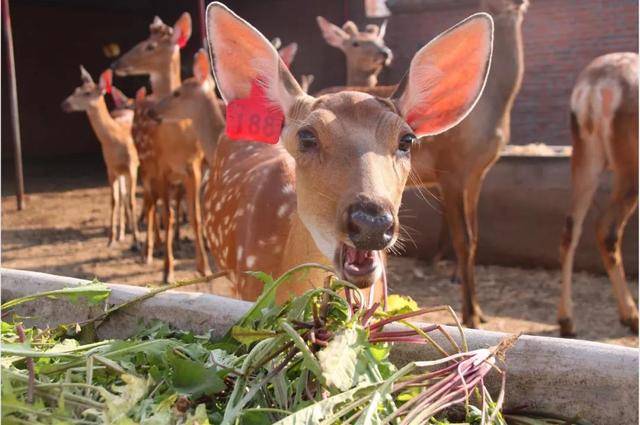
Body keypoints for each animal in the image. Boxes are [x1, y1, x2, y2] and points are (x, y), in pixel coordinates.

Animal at [61, 67, 140, 247]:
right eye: (76, 89)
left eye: (87, 92)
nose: (64, 105)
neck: (116, 138)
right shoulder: (110, 167)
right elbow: (114, 200)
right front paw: (111, 239)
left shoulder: (132, 165)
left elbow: (132, 201)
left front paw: (137, 240)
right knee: (123, 195)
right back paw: (122, 232)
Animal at [110, 13, 210, 284]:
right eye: (145, 39)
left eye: (150, 46)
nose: (116, 63)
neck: (176, 135)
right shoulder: (162, 167)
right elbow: (168, 215)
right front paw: (167, 270)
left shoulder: (193, 167)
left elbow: (195, 216)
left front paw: (204, 267)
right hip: (145, 167)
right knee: (151, 205)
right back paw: (147, 251)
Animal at [556, 52, 636, 334]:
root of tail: (594, 88)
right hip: (628, 164)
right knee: (607, 228)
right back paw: (631, 316)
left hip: (585, 156)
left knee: (570, 226)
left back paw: (567, 321)